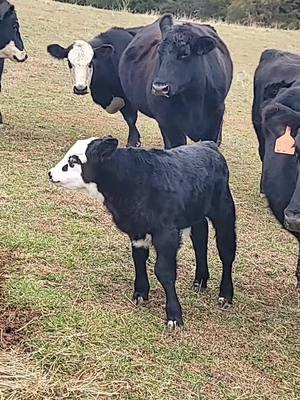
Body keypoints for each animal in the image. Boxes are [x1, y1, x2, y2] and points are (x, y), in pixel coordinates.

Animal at [48, 136, 237, 326]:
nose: (50, 173)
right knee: (200, 239)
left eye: (74, 161)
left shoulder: (166, 234)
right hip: (196, 213)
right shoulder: (137, 231)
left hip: (224, 211)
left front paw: (174, 316)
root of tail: (207, 144)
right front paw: (140, 293)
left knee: (226, 251)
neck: (133, 179)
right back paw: (200, 280)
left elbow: (164, 270)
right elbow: (138, 259)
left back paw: (225, 294)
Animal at [116, 14, 232, 149]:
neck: (193, 100)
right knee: (131, 119)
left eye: (185, 54)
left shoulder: (214, 120)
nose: (159, 88)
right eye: (159, 51)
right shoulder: (169, 124)